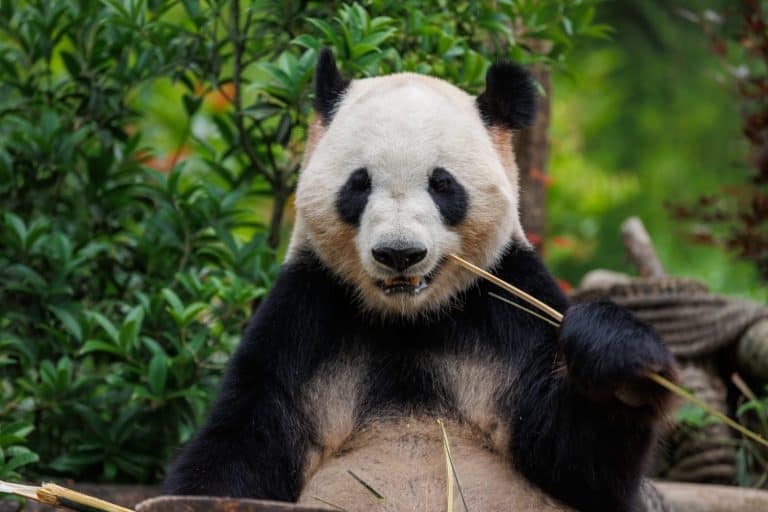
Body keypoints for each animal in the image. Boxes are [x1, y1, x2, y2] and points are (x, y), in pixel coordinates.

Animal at [163, 48, 677, 512]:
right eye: (359, 183)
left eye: (442, 184)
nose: (399, 254)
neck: (409, 320)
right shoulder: (306, 320)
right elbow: (244, 443)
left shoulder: (507, 308)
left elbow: (576, 460)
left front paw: (621, 359)